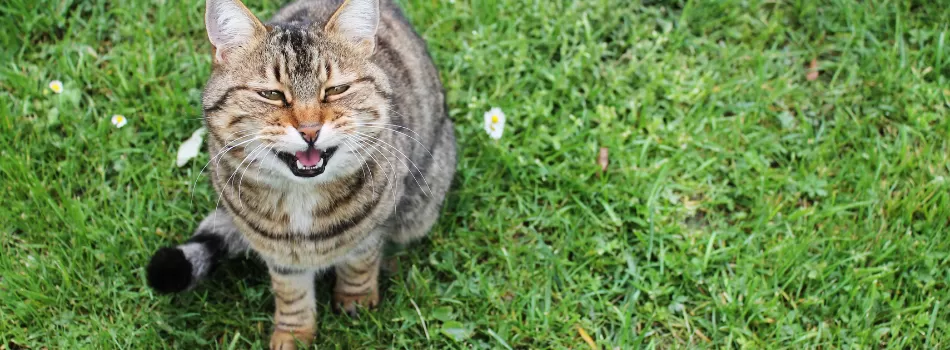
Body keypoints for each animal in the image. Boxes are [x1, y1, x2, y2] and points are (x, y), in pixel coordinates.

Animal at [147, 0, 460, 346]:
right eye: (271, 94)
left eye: (336, 89)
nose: (310, 130)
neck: (301, 198)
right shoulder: (278, 252)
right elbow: (291, 292)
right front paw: (294, 333)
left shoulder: (372, 229)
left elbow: (359, 262)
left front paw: (356, 299)